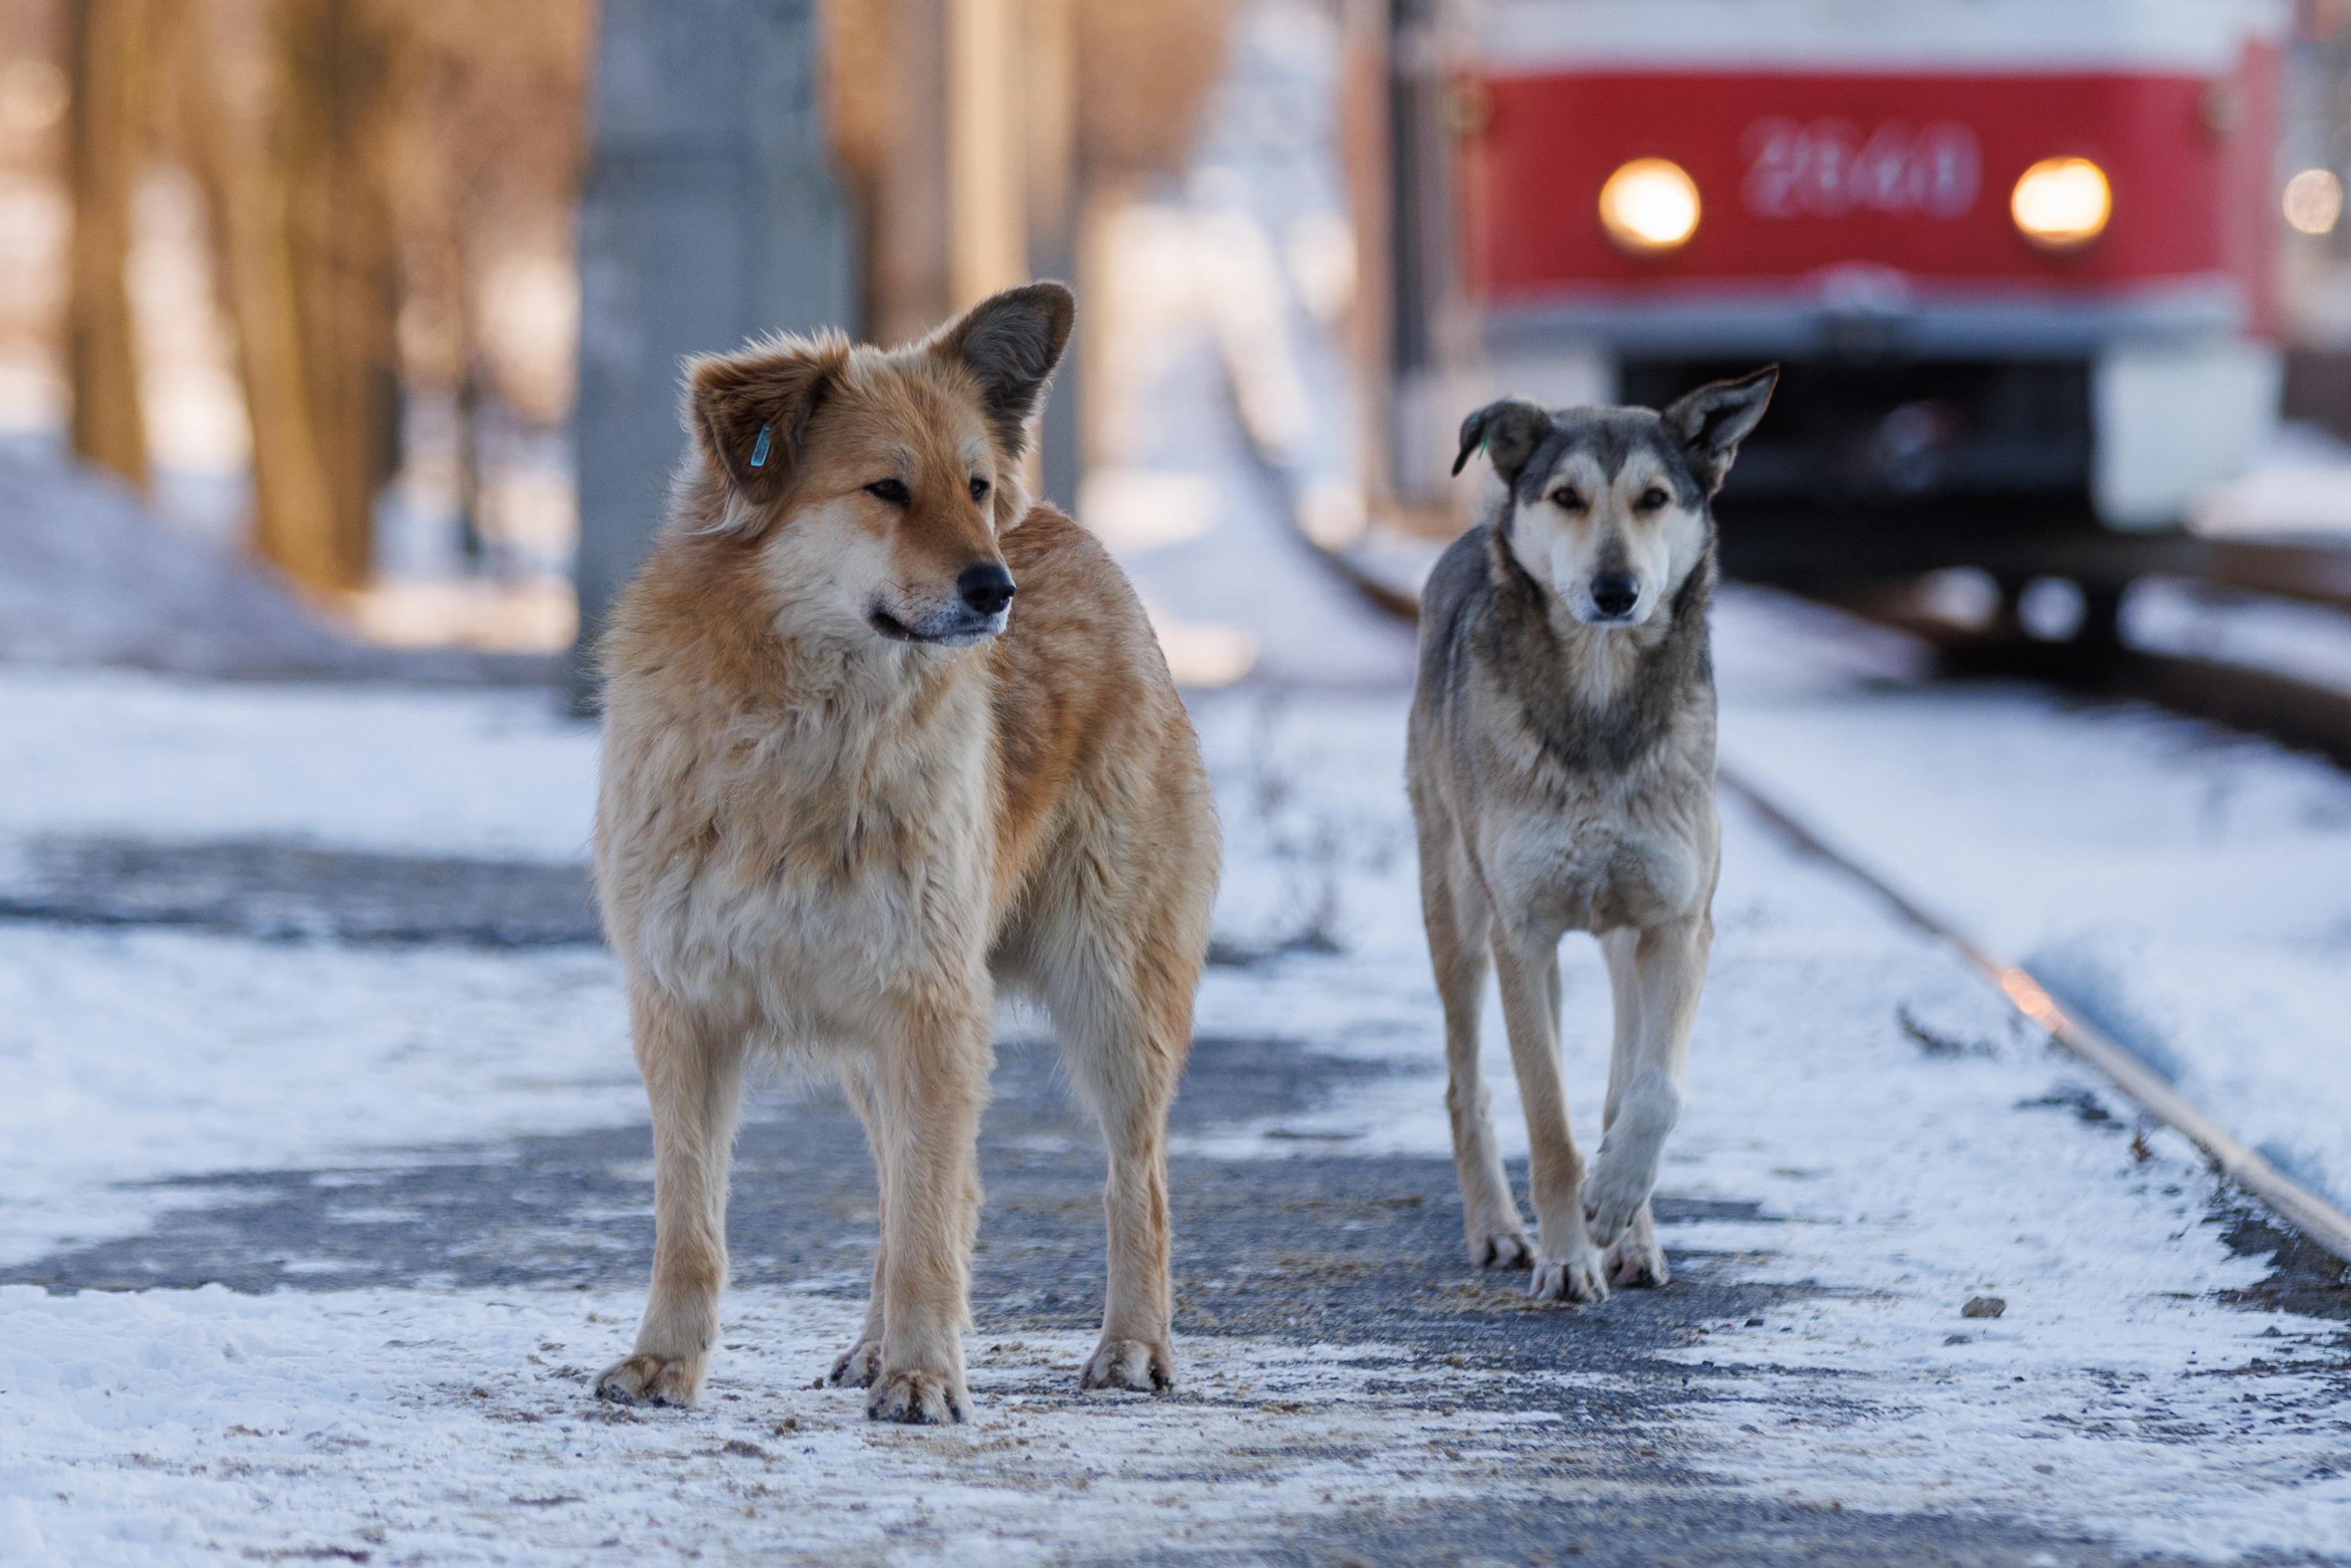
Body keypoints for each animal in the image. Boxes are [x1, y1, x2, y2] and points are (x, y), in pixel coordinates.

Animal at [1401, 368, 1768, 1298]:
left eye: (1654, 498)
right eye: (1565, 497)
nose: (1614, 591)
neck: (1600, 701)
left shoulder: (1677, 923)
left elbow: (1652, 1089)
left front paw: (1616, 1202)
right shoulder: (1522, 933)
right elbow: (1547, 1120)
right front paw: (1568, 1260)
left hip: (1616, 939)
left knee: (1615, 1079)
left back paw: (1631, 1231)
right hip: (1458, 915)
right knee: (1467, 1084)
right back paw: (1500, 1231)